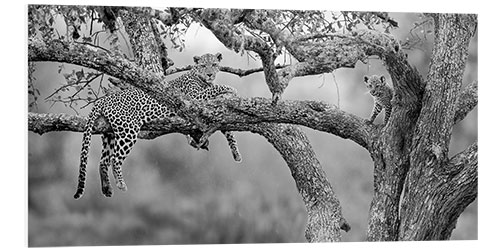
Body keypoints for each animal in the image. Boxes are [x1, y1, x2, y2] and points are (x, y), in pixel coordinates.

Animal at [73, 52, 242, 199]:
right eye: (203, 66)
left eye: (214, 64)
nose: (209, 74)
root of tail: (104, 99)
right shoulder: (194, 99)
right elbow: (215, 88)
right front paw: (230, 88)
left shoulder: (213, 114)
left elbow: (228, 131)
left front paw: (236, 153)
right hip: (128, 130)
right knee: (115, 158)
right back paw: (120, 183)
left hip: (111, 133)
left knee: (103, 161)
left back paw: (107, 189)